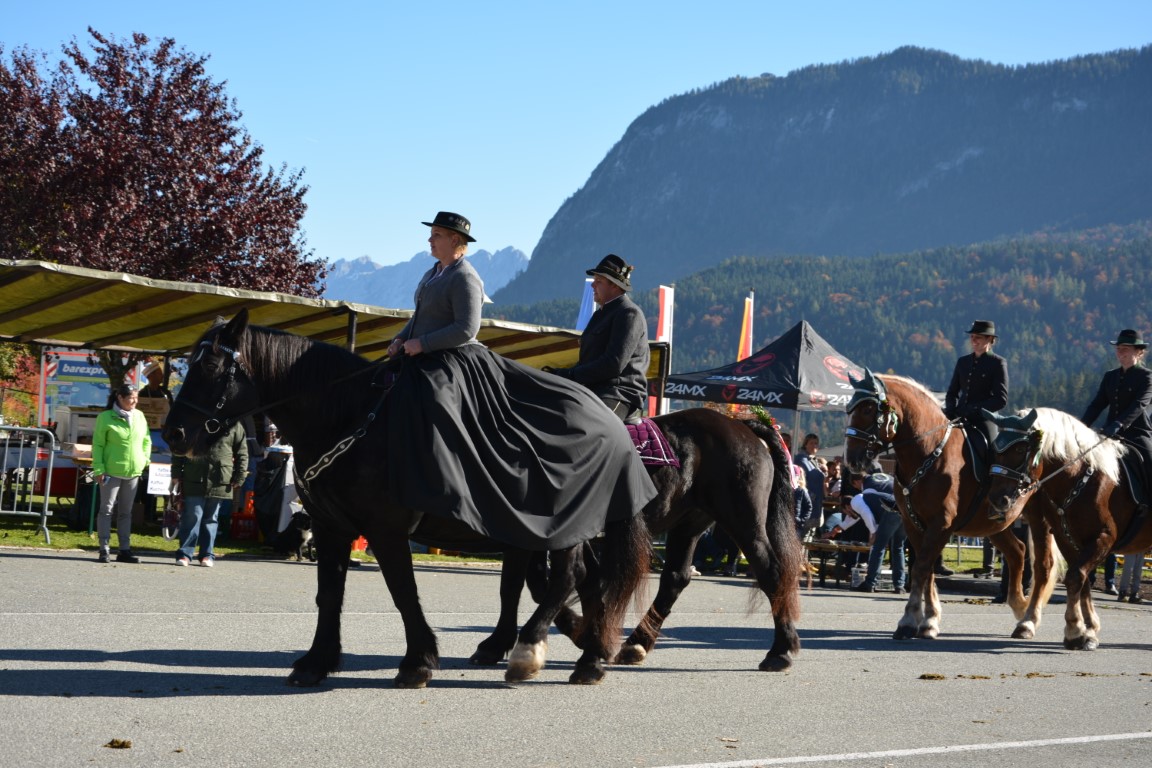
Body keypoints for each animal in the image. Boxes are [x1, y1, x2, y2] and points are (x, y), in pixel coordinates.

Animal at [161, 310, 652, 688]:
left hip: (567, 524)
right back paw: (589, 656)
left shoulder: (386, 529)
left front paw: (417, 662)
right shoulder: (330, 526)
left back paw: (531, 650)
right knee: (583, 580)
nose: (174, 433)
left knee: (570, 575)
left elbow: (402, 591)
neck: (350, 417)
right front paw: (317, 662)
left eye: (210, 368)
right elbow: (329, 594)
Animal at [468, 409, 804, 672]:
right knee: (675, 578)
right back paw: (636, 643)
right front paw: (500, 643)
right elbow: (520, 583)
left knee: (772, 573)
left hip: (743, 522)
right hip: (688, 524)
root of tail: (741, 424)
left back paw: (780, 651)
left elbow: (547, 581)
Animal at [843, 370, 1059, 641]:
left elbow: (921, 568)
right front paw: (929, 620)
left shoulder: (941, 525)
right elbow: (925, 569)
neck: (928, 453)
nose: (852, 460)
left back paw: (1029, 621)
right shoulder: (914, 524)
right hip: (993, 526)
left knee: (1042, 565)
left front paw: (909, 621)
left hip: (1040, 520)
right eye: (850, 409)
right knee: (1017, 553)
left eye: (869, 409)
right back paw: (1020, 607)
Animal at [984, 407, 1152, 650]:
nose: (997, 499)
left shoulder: (1103, 538)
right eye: (996, 451)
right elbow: (1081, 580)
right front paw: (1088, 630)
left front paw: (1074, 630)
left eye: (1021, 448)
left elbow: (1075, 577)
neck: (1081, 479)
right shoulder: (1068, 539)